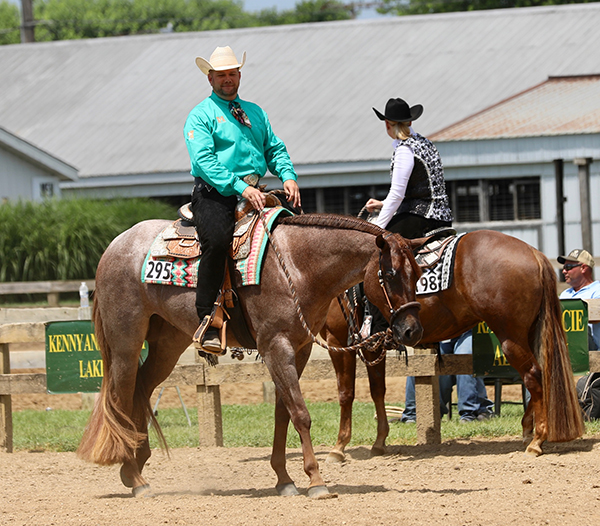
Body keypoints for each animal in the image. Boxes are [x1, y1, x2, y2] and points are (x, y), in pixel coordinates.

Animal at [77, 213, 424, 500]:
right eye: (389, 274)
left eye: (419, 272)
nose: (412, 330)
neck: (297, 266)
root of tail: (115, 245)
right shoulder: (276, 347)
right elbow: (301, 414)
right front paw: (316, 481)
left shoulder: (298, 350)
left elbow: (283, 413)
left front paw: (284, 479)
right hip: (125, 343)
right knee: (121, 396)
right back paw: (135, 478)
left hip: (167, 345)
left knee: (142, 388)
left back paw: (134, 465)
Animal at [322, 231, 584, 462]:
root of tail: (533, 252)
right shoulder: (371, 346)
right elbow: (378, 390)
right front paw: (378, 442)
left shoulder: (338, 342)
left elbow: (346, 393)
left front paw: (339, 447)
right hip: (528, 334)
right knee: (536, 376)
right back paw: (528, 431)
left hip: (511, 337)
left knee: (533, 375)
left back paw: (537, 441)